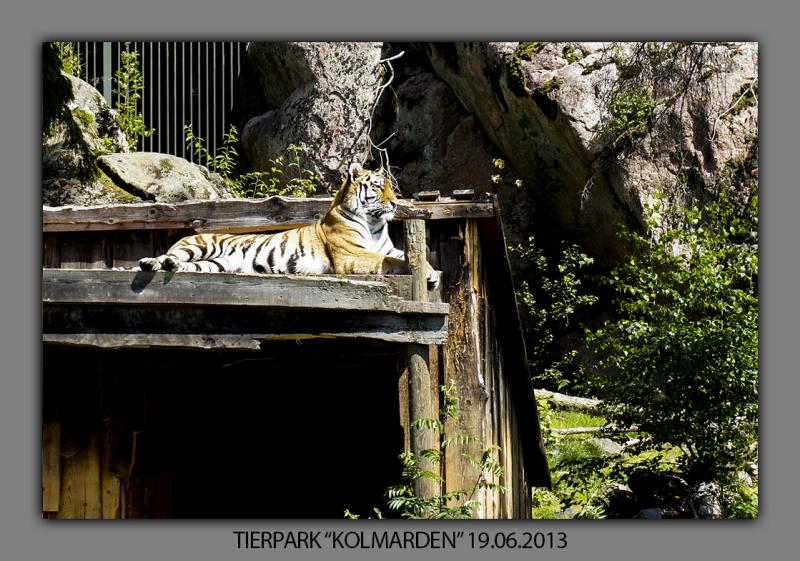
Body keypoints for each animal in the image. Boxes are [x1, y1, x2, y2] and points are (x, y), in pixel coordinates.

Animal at [138, 162, 440, 288]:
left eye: (390, 187)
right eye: (378, 187)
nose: (395, 203)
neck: (375, 223)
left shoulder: (388, 247)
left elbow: (410, 256)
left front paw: (432, 273)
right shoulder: (350, 255)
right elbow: (389, 261)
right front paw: (420, 272)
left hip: (218, 264)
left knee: (183, 265)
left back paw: (171, 266)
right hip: (196, 246)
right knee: (164, 255)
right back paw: (150, 262)